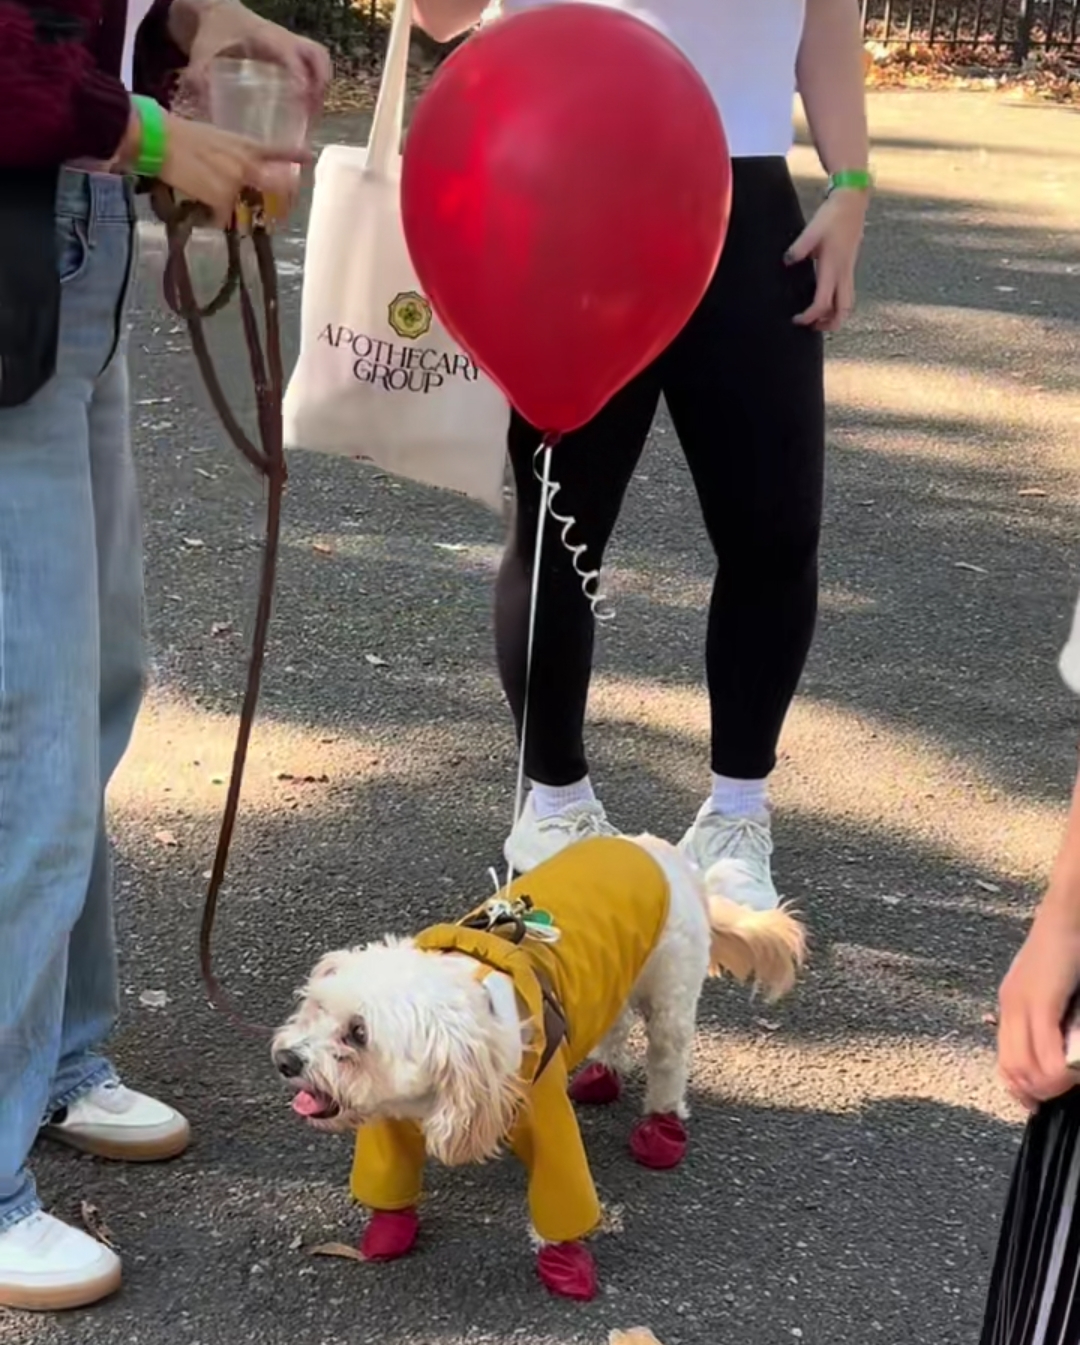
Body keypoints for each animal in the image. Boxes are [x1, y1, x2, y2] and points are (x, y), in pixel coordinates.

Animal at [274, 833, 806, 1296]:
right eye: (316, 1007)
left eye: (358, 1034)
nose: (285, 1059)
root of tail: (660, 851)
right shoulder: (389, 1121)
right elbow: (388, 1178)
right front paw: (390, 1228)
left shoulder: (545, 1115)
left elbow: (561, 1193)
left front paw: (565, 1263)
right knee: (614, 1021)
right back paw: (604, 1074)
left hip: (671, 985)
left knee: (668, 1057)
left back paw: (661, 1124)